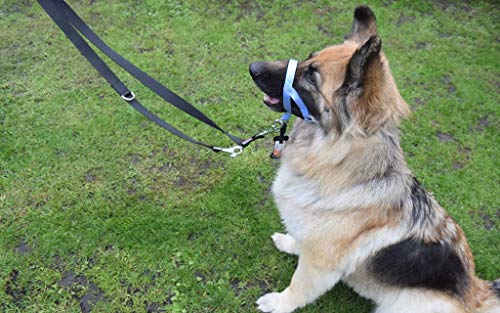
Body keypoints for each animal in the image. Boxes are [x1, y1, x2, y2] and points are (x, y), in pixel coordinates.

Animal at [248, 4, 498, 312]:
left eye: (310, 76)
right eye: (307, 59)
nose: (252, 67)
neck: (337, 158)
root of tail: (476, 295)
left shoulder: (319, 266)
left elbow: (298, 287)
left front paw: (279, 302)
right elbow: (300, 238)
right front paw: (289, 242)